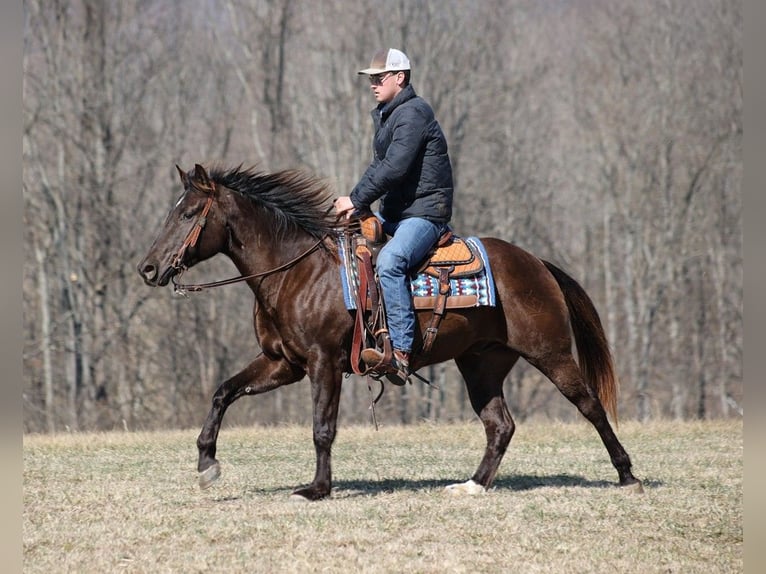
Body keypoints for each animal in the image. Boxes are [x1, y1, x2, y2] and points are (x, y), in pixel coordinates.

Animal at [136, 164, 640, 502]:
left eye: (188, 214)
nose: (148, 269)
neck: (297, 271)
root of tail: (536, 262)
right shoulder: (282, 364)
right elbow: (223, 391)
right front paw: (207, 463)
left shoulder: (323, 363)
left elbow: (322, 427)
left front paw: (317, 489)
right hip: (481, 364)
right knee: (500, 425)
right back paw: (473, 485)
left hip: (551, 353)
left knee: (590, 406)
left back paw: (628, 475)